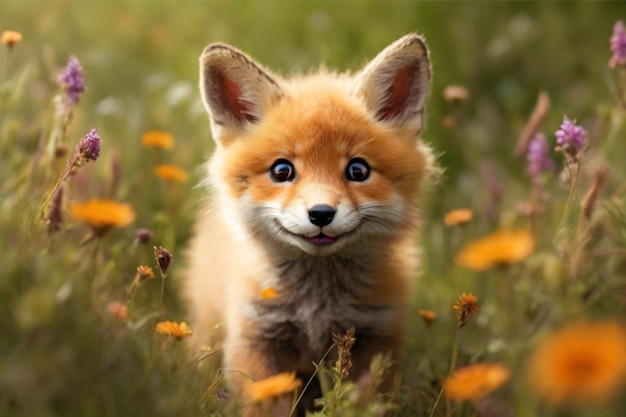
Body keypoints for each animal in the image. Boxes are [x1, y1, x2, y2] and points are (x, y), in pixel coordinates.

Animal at [183, 34, 432, 414]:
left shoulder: (375, 336)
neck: (317, 306)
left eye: (358, 170)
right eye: (282, 170)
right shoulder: (256, 335)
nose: (321, 214)